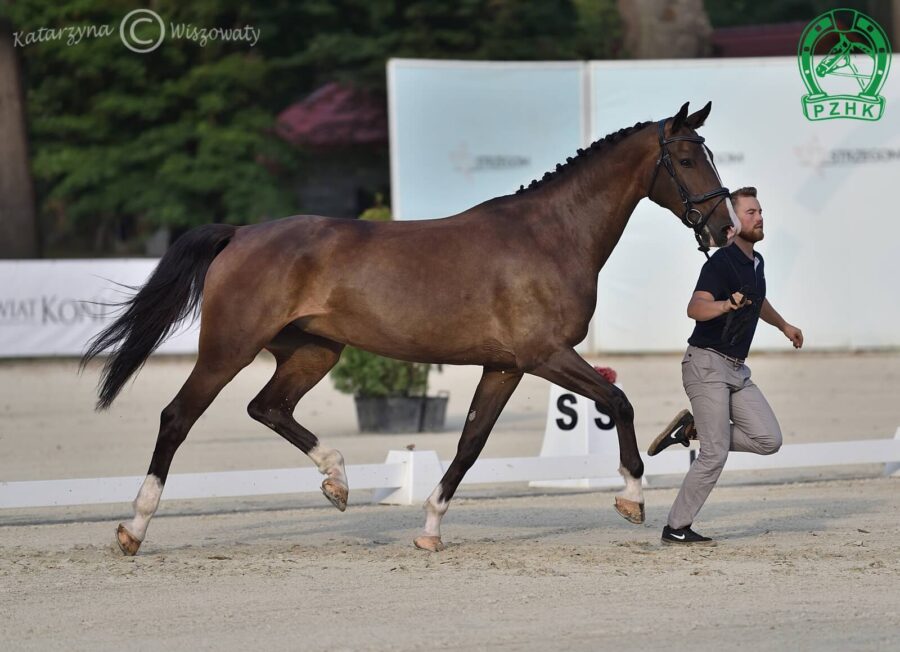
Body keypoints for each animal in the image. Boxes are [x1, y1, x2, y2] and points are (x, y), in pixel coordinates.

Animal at [82, 102, 740, 556]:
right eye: (686, 159)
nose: (726, 228)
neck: (550, 235)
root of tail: (241, 233)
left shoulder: (504, 366)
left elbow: (470, 444)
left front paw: (429, 528)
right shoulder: (545, 355)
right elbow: (619, 401)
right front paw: (631, 499)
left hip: (314, 352)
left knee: (267, 408)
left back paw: (338, 481)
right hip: (228, 349)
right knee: (178, 418)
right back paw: (133, 529)